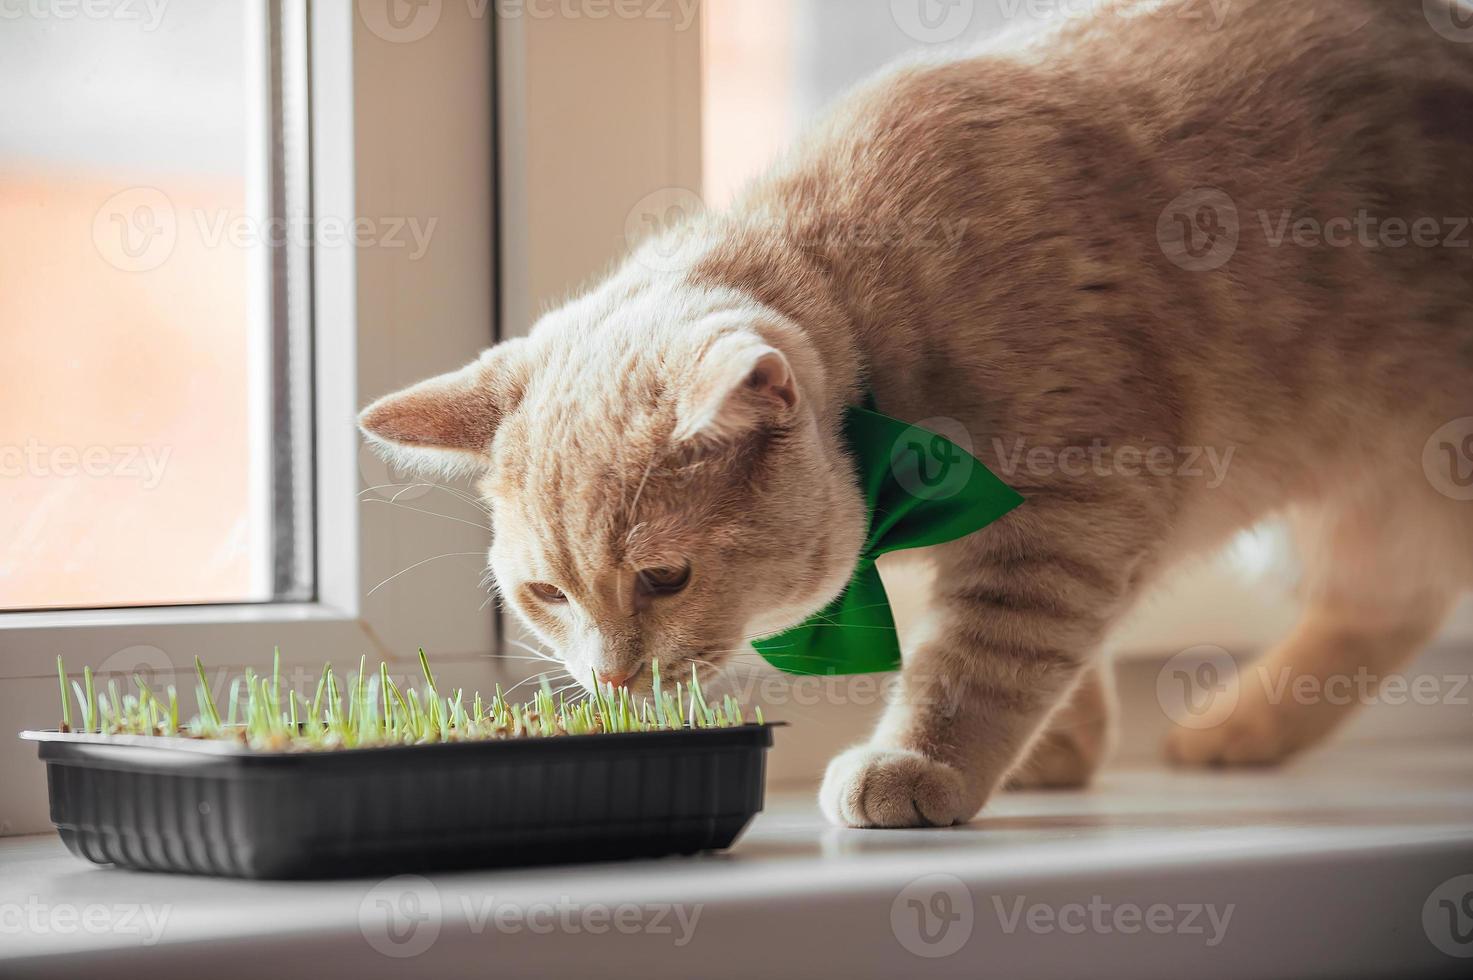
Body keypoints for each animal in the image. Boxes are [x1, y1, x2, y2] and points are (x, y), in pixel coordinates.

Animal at [359, 0, 1473, 825]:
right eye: (546, 594)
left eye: (664, 577)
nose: (617, 683)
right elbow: (1056, 658)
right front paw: (1059, 746)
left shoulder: (1069, 510)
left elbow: (981, 656)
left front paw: (925, 765)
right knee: (1390, 603)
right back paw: (1238, 730)